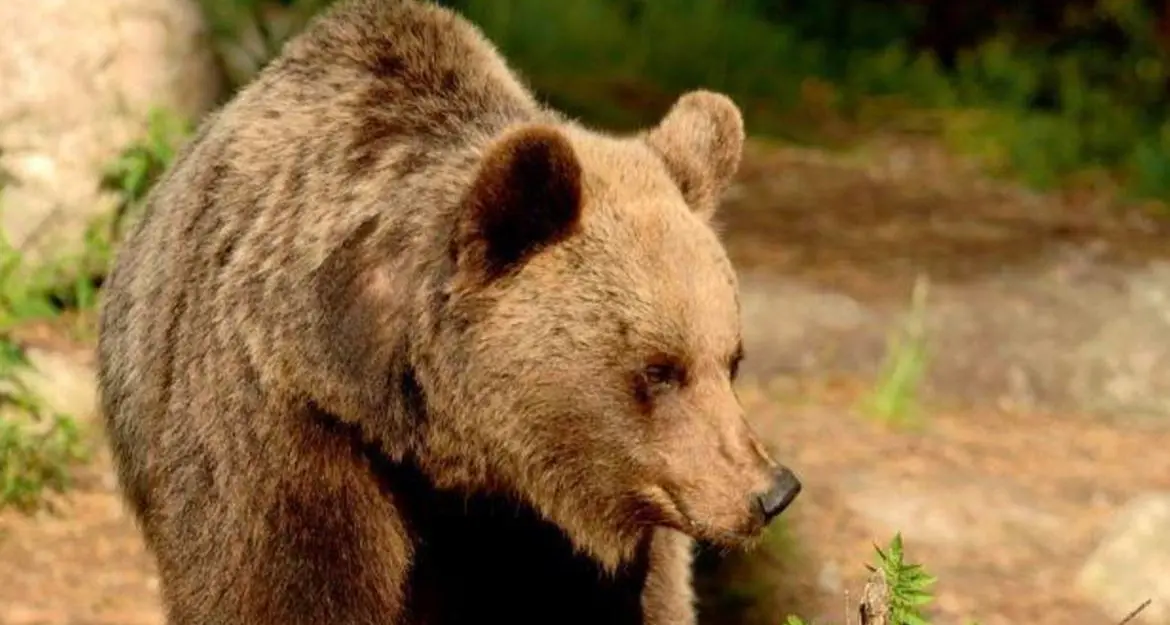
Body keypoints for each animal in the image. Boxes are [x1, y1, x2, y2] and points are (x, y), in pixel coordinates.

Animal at [95, 0, 802, 624]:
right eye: (658, 370)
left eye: (732, 360)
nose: (771, 492)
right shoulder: (283, 427)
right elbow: (280, 588)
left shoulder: (550, 530)